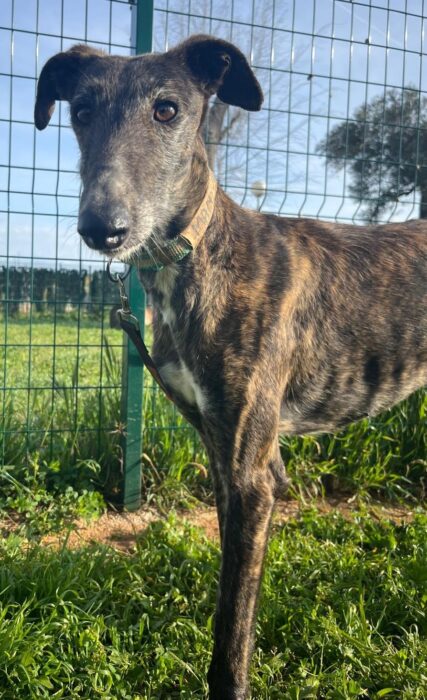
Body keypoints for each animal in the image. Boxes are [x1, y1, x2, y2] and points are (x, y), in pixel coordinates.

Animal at [35, 35, 427, 699]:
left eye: (167, 110)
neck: (199, 253)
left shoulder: (253, 474)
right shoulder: (220, 447)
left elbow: (232, 623)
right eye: (80, 112)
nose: (102, 228)